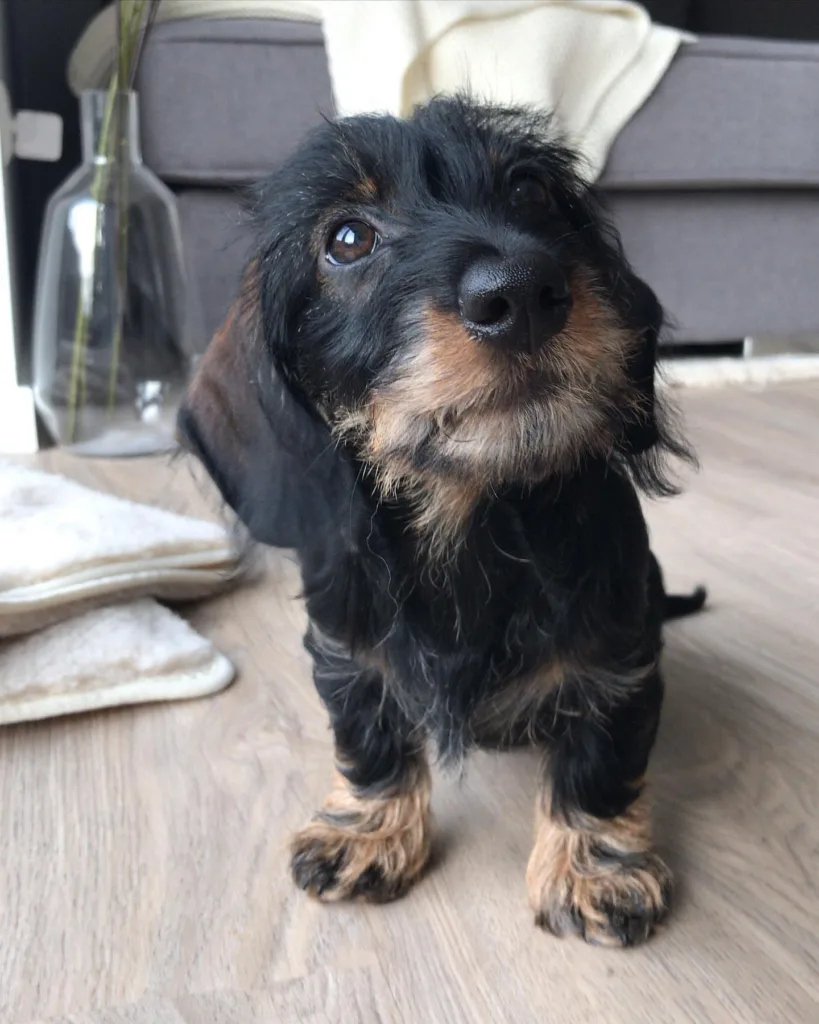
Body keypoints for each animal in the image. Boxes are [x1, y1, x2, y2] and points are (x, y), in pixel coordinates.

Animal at [177, 97, 704, 950]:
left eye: (528, 191)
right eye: (346, 238)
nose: (521, 291)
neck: (470, 517)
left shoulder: (616, 663)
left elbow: (596, 763)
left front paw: (594, 868)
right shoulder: (348, 656)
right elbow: (370, 740)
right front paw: (367, 830)